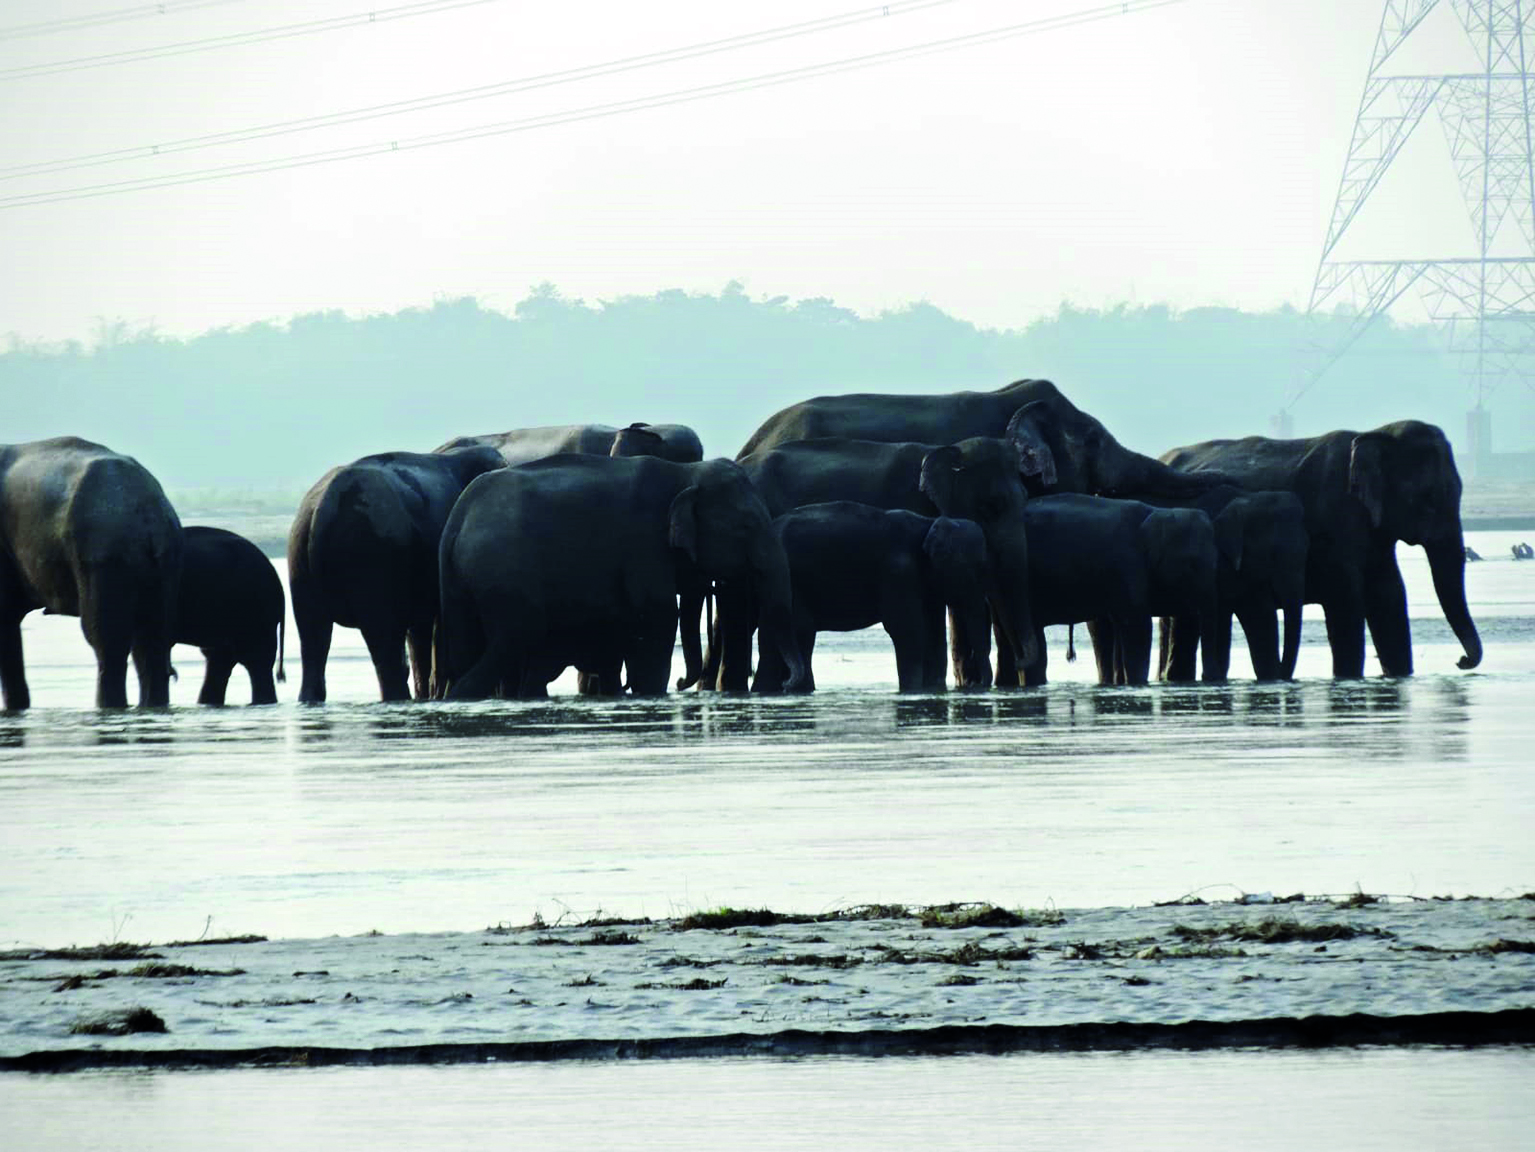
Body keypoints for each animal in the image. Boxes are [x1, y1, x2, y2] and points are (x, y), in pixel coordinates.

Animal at [437, 455, 808, 699]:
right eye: (746, 526)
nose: (788, 685)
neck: (684, 473)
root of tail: (456, 519)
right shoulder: (643, 542)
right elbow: (658, 615)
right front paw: (651, 692)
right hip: (504, 573)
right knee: (516, 635)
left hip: (461, 584)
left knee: (470, 647)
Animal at [752, 503, 995, 693]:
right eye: (977, 571)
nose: (976, 684)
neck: (928, 523)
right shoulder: (898, 574)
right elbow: (907, 630)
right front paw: (912, 690)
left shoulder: (924, 584)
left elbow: (933, 634)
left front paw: (931, 690)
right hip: (793, 584)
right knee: (801, 634)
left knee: (771, 642)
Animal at [1015, 495, 1223, 687]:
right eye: (1192, 565)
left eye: (1216, 563)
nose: (1207, 678)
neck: (1156, 511)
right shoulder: (1128, 566)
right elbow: (1137, 626)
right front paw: (1137, 683)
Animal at [1147, 488, 1309, 682]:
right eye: (1273, 554)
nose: (1284, 677)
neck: (1248, 499)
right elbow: (1224, 614)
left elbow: (1258, 615)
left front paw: (1269, 676)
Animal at [1161, 420, 1482, 677]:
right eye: (1429, 498)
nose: (1461, 661)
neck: (1375, 433)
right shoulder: (1336, 519)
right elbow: (1345, 598)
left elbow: (1389, 593)